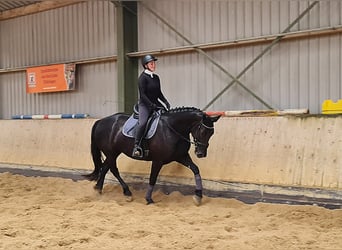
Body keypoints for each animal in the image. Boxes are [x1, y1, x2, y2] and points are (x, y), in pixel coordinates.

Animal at [84, 106, 220, 206]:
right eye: (202, 130)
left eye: (212, 133)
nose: (201, 154)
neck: (172, 129)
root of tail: (100, 121)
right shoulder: (158, 160)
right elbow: (152, 178)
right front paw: (149, 199)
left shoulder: (181, 156)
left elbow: (195, 169)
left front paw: (198, 196)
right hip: (111, 152)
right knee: (113, 169)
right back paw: (127, 193)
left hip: (113, 152)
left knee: (105, 167)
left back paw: (98, 189)